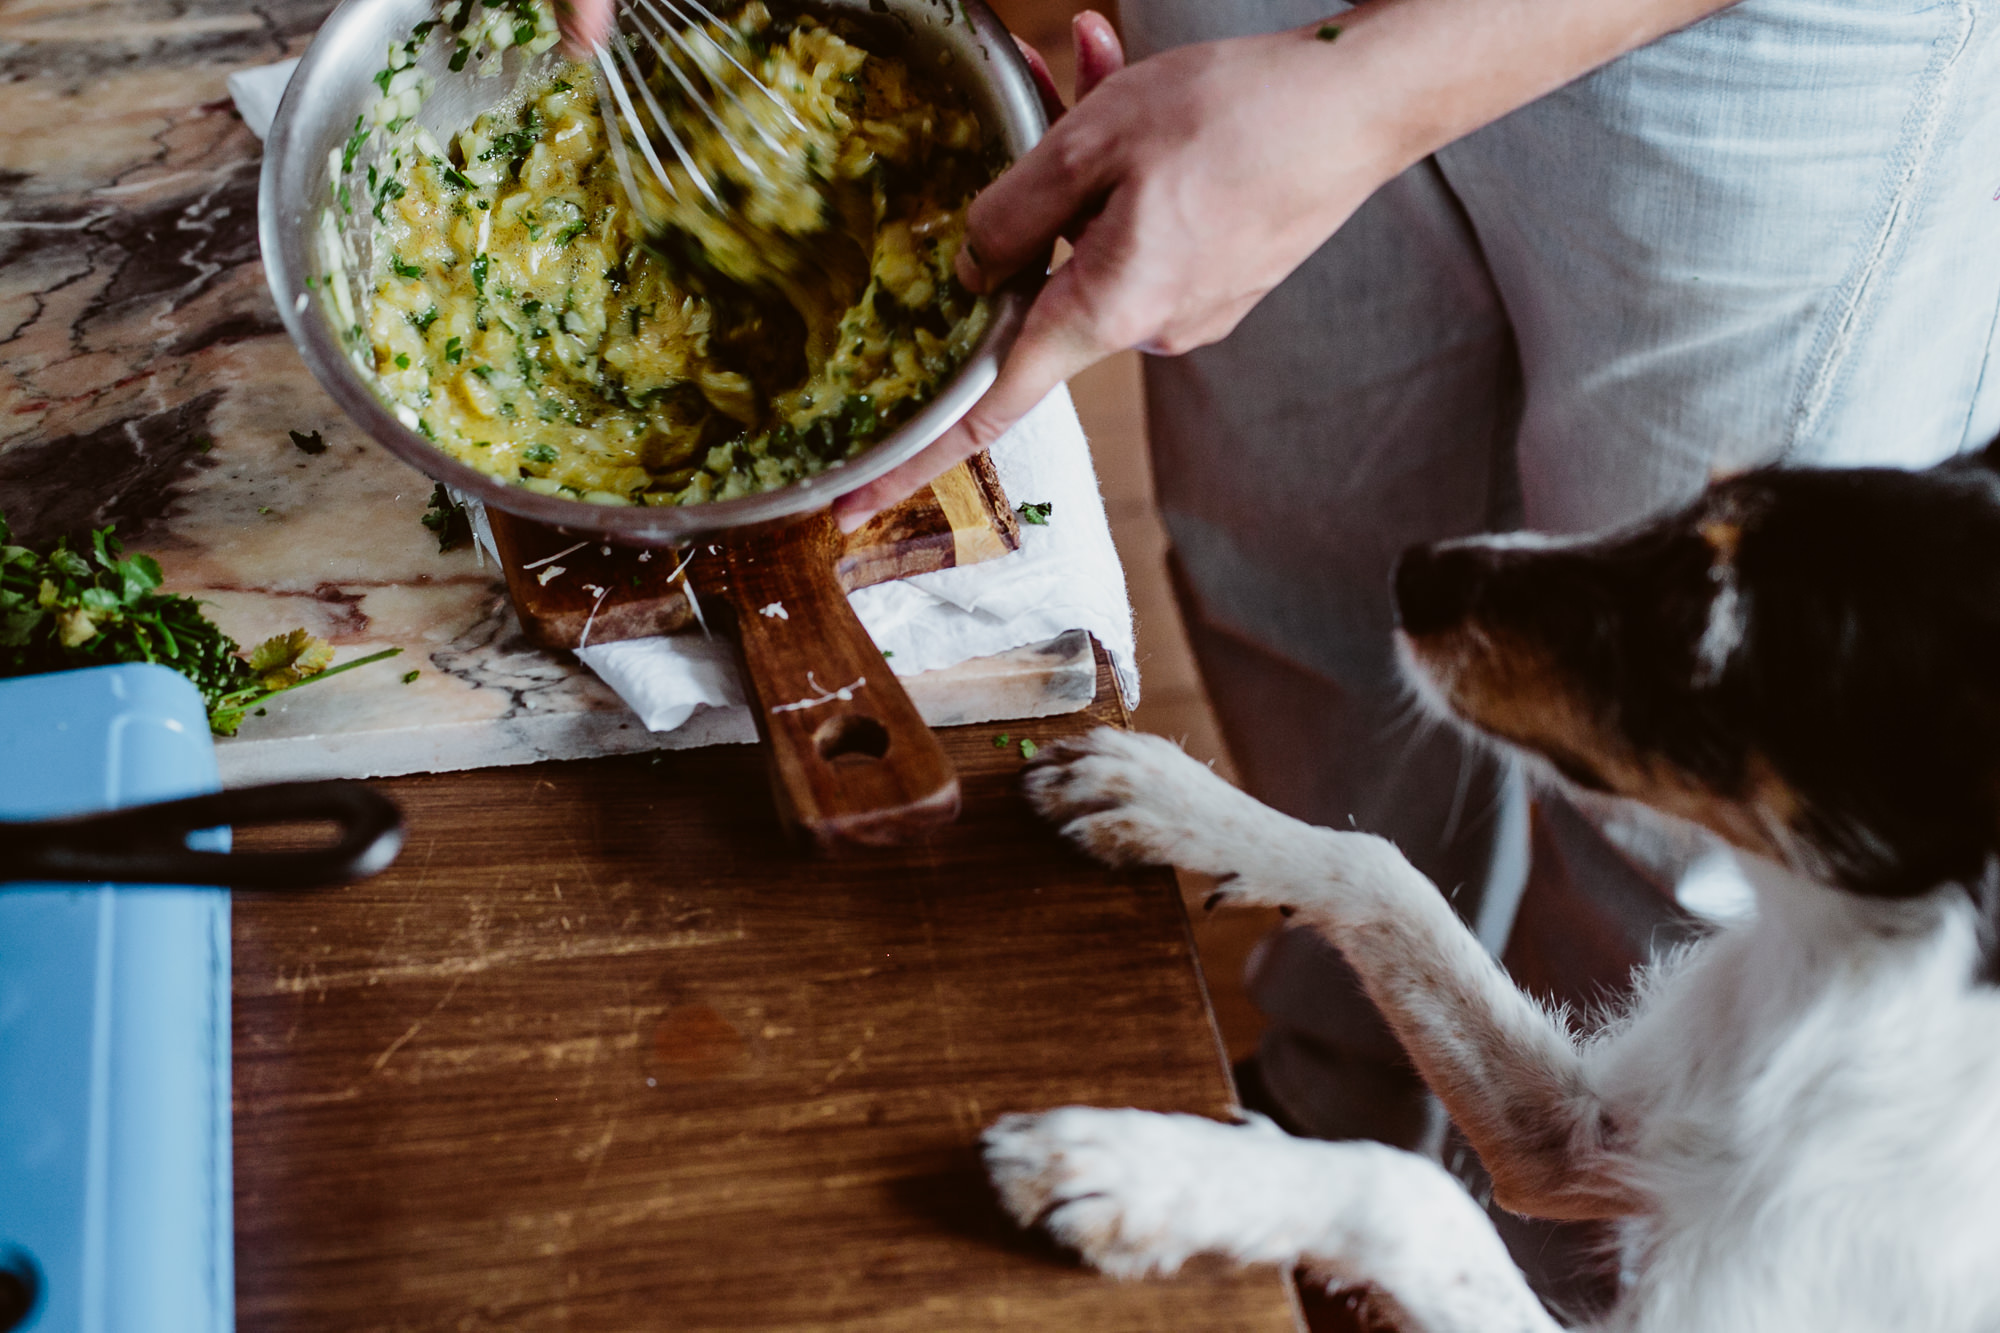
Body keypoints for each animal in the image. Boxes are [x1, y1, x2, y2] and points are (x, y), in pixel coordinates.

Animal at [980, 448, 2000, 1328]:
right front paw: (1175, 798)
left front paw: (1134, 1168)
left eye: (1697, 612)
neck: (1853, 951)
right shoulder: (1581, 1136)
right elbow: (1386, 870)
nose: (1411, 566)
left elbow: (1416, 1191)